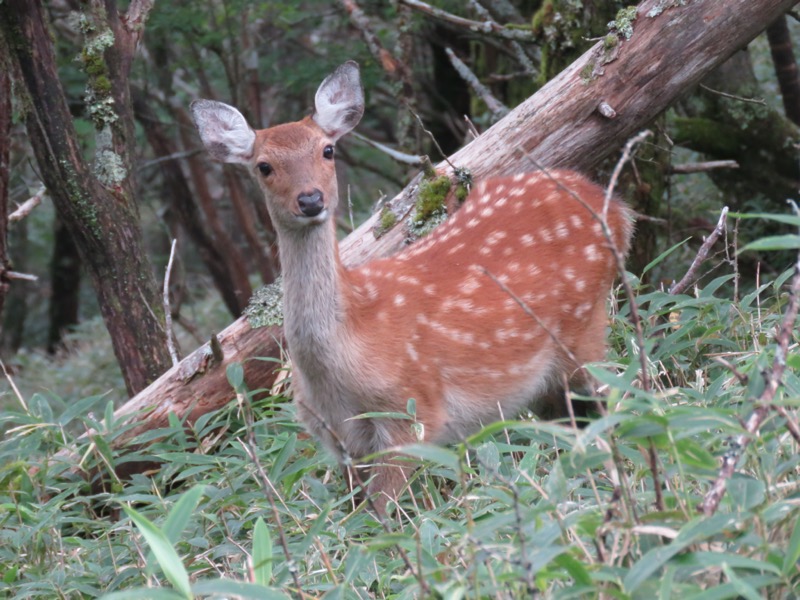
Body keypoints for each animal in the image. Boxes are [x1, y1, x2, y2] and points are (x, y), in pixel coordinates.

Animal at [191, 59, 636, 510]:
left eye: (327, 150)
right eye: (263, 166)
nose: (311, 199)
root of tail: (617, 210)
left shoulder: (413, 409)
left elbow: (383, 511)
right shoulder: (336, 435)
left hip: (584, 329)